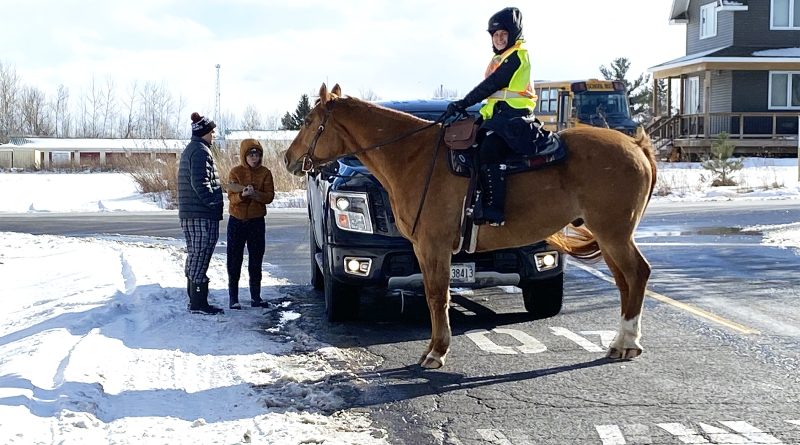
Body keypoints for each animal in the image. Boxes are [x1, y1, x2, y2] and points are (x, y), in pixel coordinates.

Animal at [282, 83, 656, 368]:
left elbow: (437, 296)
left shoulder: (433, 245)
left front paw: (436, 352)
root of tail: (635, 145)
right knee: (625, 281)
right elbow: (435, 294)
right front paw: (434, 348)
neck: (413, 158)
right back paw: (621, 341)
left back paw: (628, 343)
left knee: (637, 274)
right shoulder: (421, 249)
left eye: (310, 120)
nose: (288, 158)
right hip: (609, 237)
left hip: (614, 234)